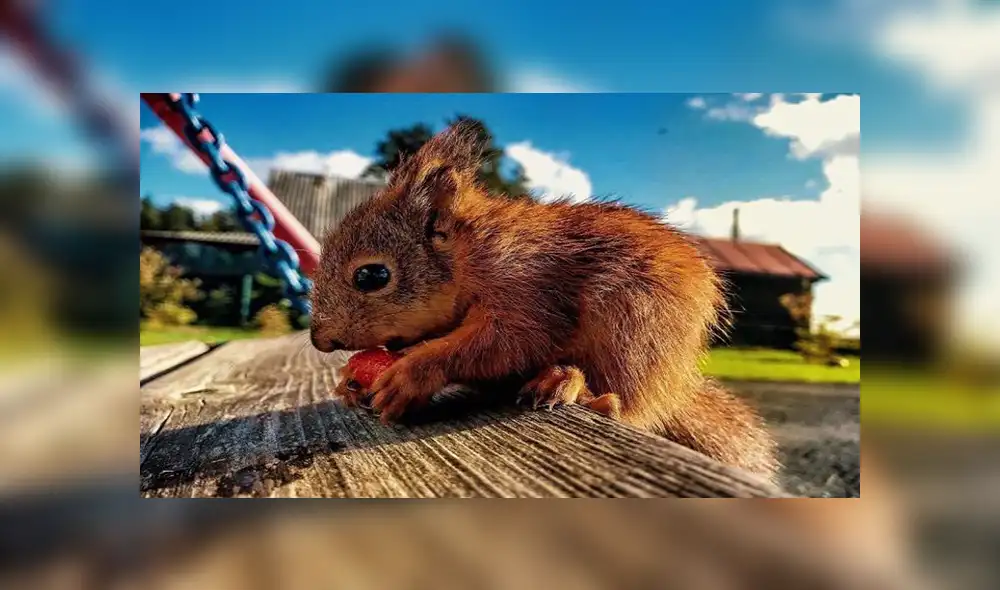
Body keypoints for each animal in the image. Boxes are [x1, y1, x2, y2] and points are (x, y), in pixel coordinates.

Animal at [310, 119, 779, 482]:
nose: (319, 339)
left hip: (635, 333)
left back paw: (578, 389)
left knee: (627, 406)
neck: (470, 255)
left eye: (372, 276)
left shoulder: (528, 286)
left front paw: (413, 373)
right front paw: (351, 381)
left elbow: (509, 341)